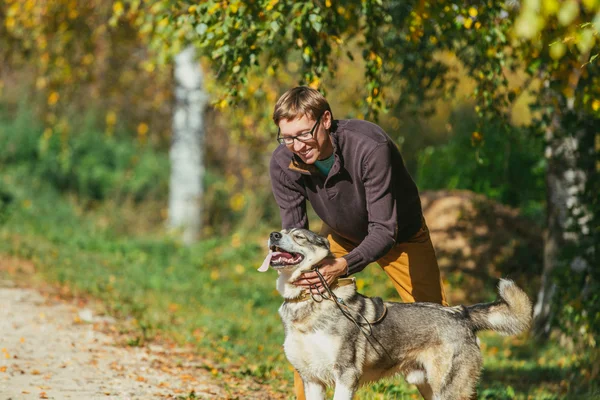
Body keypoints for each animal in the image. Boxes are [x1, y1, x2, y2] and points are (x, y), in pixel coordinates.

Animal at [255, 228, 532, 400]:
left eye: (299, 236)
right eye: (282, 230)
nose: (273, 234)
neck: (307, 301)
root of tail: (462, 312)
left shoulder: (346, 376)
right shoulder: (311, 379)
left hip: (447, 388)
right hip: (427, 384)